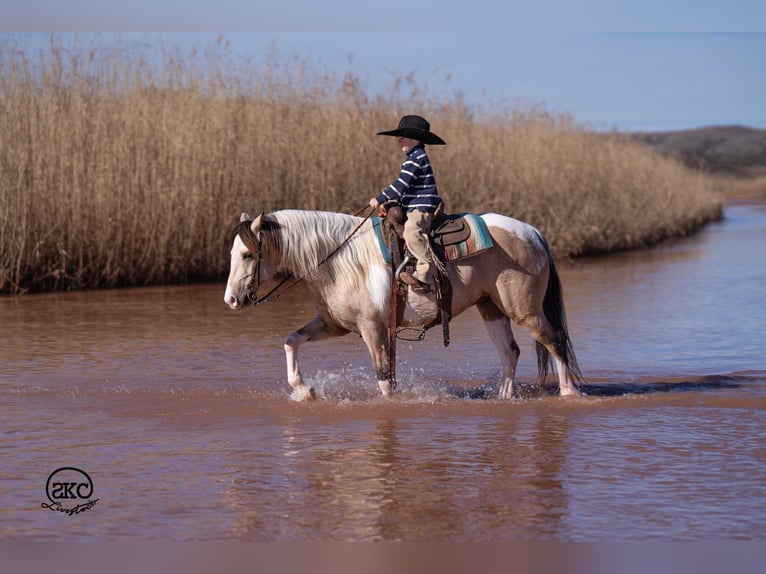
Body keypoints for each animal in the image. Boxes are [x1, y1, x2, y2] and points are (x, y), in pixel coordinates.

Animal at [224, 209, 583, 400]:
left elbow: (384, 379)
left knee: (555, 341)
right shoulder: (334, 324)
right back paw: (504, 397)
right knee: (510, 351)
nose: (230, 300)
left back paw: (568, 394)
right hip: (491, 308)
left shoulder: (374, 329)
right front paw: (303, 389)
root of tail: (532, 232)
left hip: (525, 311)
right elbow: (291, 340)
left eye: (247, 255)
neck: (340, 260)